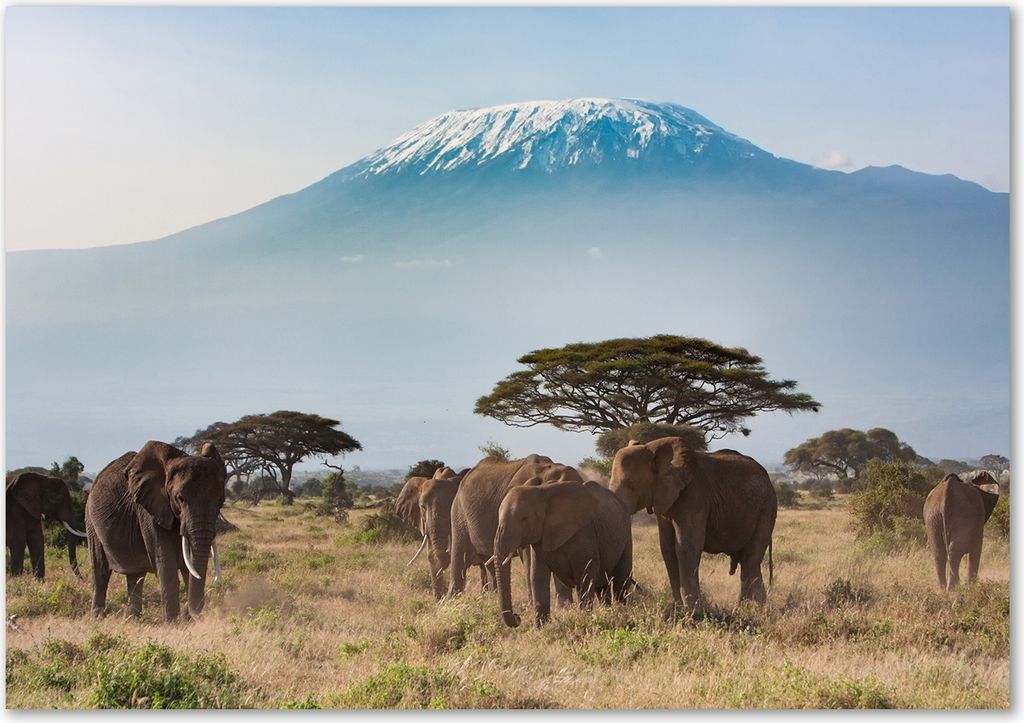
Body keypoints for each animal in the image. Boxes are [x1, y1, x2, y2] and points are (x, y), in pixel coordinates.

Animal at [85, 440, 226, 621]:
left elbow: (187, 564)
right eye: (180, 498)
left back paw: (132, 619)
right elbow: (165, 561)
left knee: (135, 574)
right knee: (100, 568)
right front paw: (173, 623)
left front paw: (186, 620)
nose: (192, 614)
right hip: (90, 520)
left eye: (220, 500)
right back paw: (98, 617)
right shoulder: (150, 510)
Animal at [448, 454, 584, 602]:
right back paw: (452, 601)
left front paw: (565, 605)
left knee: (488, 563)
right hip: (459, 514)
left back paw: (492, 599)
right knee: (460, 559)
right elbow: (530, 559)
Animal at [494, 479, 633, 627]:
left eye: (524, 518)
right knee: (602, 589)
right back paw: (608, 612)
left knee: (620, 583)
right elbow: (538, 577)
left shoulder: (584, 533)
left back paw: (622, 612)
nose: (518, 617)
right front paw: (542, 628)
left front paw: (584, 620)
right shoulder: (540, 538)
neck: (541, 492)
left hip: (626, 535)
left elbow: (585, 575)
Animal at [609, 438, 776, 611]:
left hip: (767, 508)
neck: (652, 448)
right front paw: (679, 608)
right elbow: (667, 549)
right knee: (747, 560)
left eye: (631, 484)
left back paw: (751, 609)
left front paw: (694, 611)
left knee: (751, 559)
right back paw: (752, 607)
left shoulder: (694, 496)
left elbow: (686, 547)